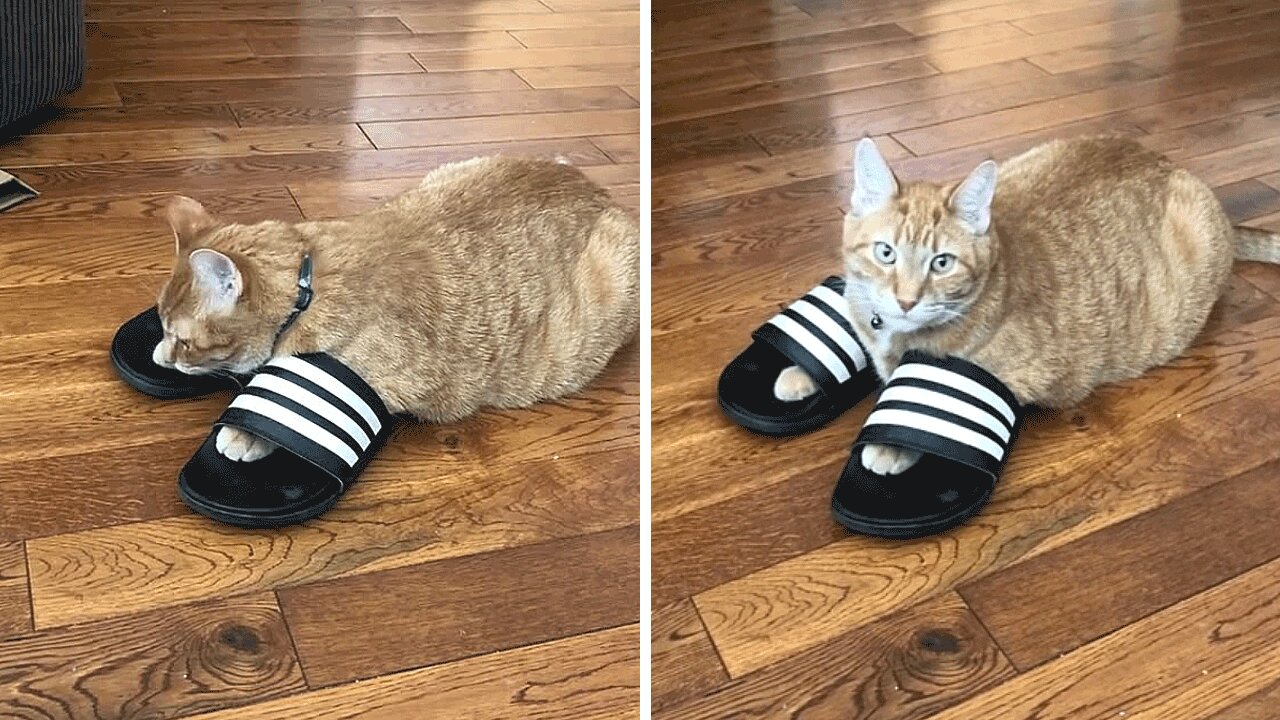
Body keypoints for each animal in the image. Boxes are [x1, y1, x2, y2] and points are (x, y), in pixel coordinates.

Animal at [153, 155, 640, 458]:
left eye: (185, 341)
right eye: (163, 327)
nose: (169, 356)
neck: (309, 286)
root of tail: (596, 189)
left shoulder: (402, 382)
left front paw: (242, 435)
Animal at [778, 137, 1280, 476]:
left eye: (942, 263)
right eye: (886, 253)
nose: (906, 299)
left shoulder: (1035, 376)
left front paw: (895, 445)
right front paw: (800, 372)